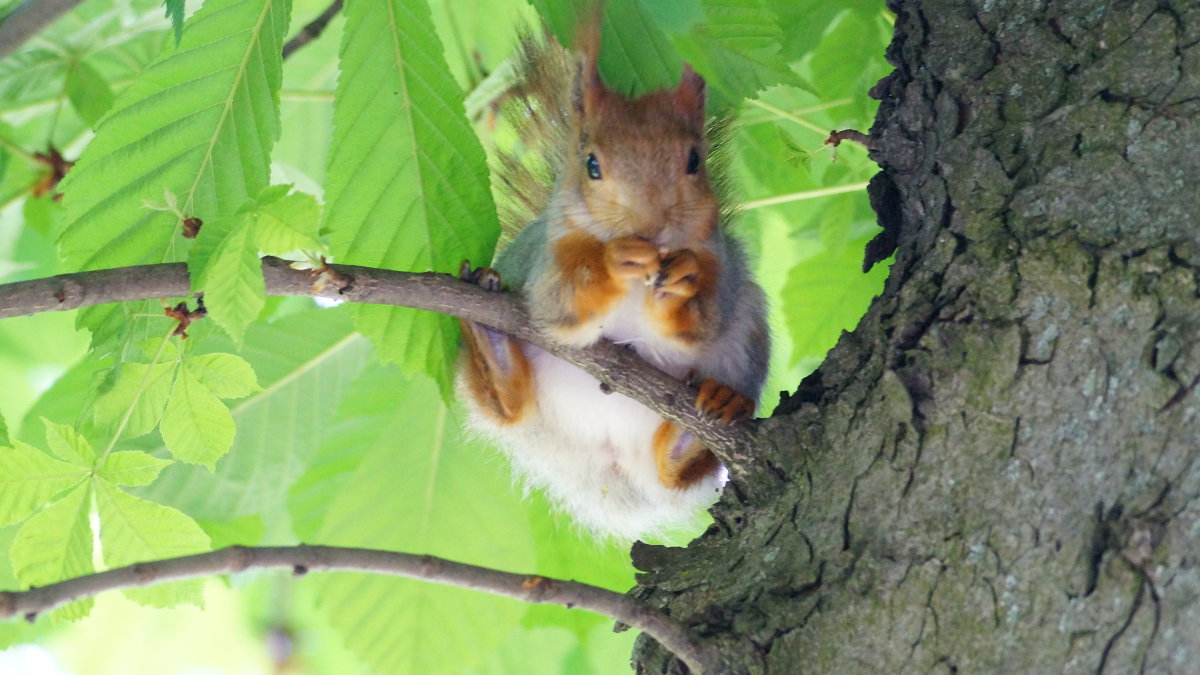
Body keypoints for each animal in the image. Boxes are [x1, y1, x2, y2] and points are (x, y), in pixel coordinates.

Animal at [458, 24, 768, 540]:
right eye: (592, 165)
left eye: (694, 161)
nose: (650, 225)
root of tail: (605, 463)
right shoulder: (546, 261)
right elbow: (558, 308)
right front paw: (613, 259)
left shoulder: (722, 267)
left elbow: (703, 322)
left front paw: (684, 277)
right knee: (509, 405)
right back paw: (491, 344)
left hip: (748, 328)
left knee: (674, 472)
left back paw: (701, 423)